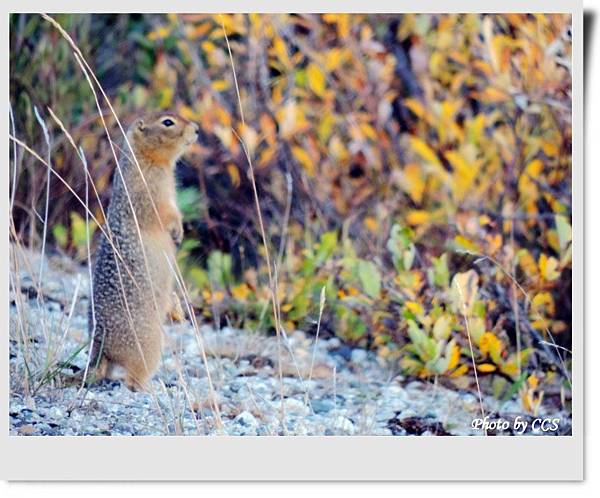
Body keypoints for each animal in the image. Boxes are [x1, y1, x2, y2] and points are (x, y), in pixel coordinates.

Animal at [87, 114, 199, 392]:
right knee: (132, 379)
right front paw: (178, 231)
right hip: (150, 346)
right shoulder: (151, 194)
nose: (197, 129)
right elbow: (165, 213)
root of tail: (101, 351)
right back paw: (150, 387)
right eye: (168, 122)